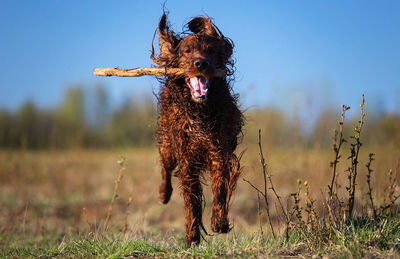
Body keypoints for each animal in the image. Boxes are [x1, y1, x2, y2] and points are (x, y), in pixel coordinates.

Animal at [151, 11, 242, 248]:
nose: (201, 63)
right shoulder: (187, 159)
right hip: (167, 144)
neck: (199, 111)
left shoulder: (219, 152)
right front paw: (192, 236)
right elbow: (191, 202)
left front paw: (219, 221)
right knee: (165, 166)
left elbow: (220, 188)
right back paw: (163, 194)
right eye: (187, 51)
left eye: (211, 50)